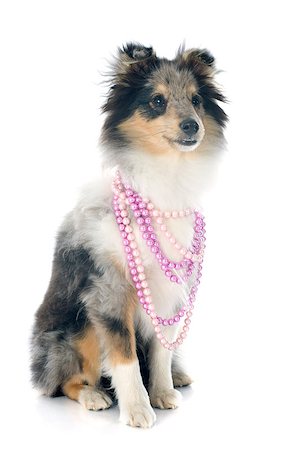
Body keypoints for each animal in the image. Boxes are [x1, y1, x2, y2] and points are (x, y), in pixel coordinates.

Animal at [30, 43, 228, 428]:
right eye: (157, 101)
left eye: (196, 100)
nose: (192, 126)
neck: (166, 179)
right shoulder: (109, 289)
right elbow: (124, 356)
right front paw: (138, 408)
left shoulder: (169, 291)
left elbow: (161, 350)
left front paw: (163, 392)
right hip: (75, 330)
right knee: (63, 381)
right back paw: (93, 395)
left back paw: (178, 376)